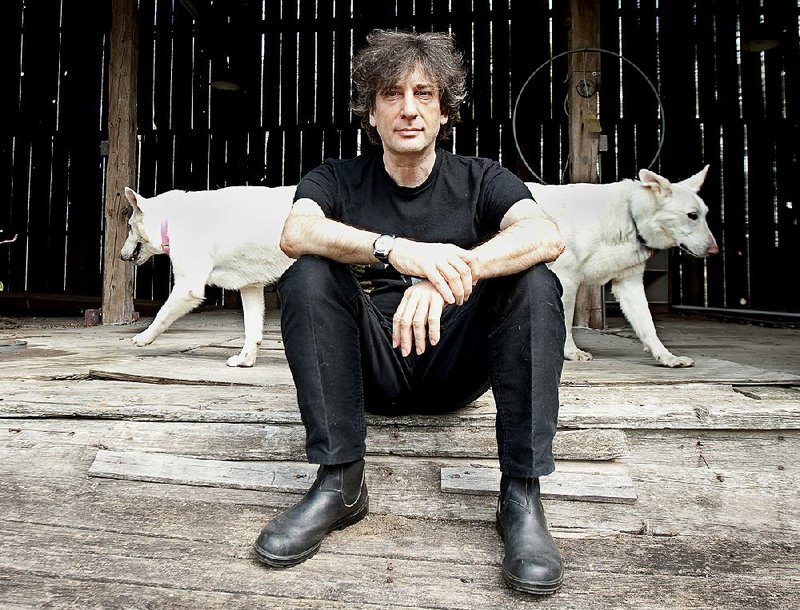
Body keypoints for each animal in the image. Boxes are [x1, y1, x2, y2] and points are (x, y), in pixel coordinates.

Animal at [119, 184, 294, 366]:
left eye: (129, 226)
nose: (121, 256)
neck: (169, 220)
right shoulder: (250, 287)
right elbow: (253, 330)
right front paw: (245, 360)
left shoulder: (187, 287)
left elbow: (162, 314)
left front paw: (144, 337)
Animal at [532, 165, 720, 366]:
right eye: (692, 216)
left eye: (705, 215)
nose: (715, 251)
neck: (631, 216)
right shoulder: (566, 280)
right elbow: (565, 322)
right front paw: (571, 352)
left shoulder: (629, 283)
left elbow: (648, 326)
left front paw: (667, 357)